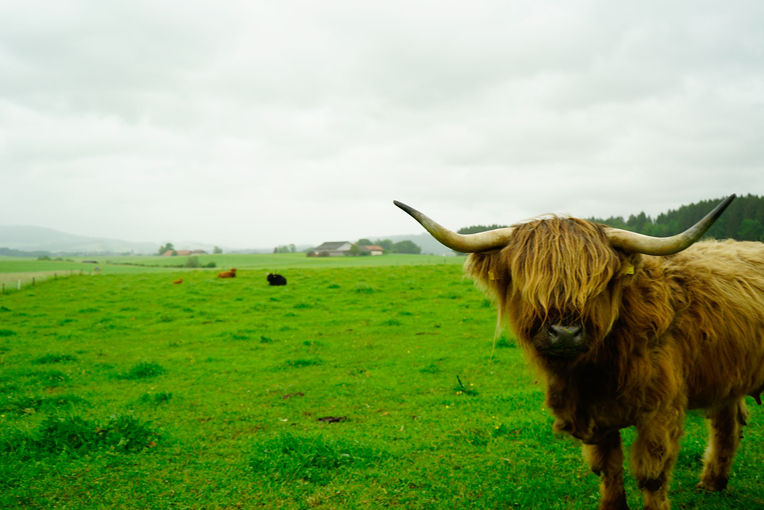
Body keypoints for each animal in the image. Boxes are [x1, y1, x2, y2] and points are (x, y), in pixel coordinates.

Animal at [394, 196, 764, 510]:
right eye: (528, 283)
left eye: (597, 285)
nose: (564, 333)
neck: (595, 370)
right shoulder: (592, 413)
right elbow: (608, 469)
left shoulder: (660, 410)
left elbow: (651, 475)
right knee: (726, 421)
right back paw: (713, 483)